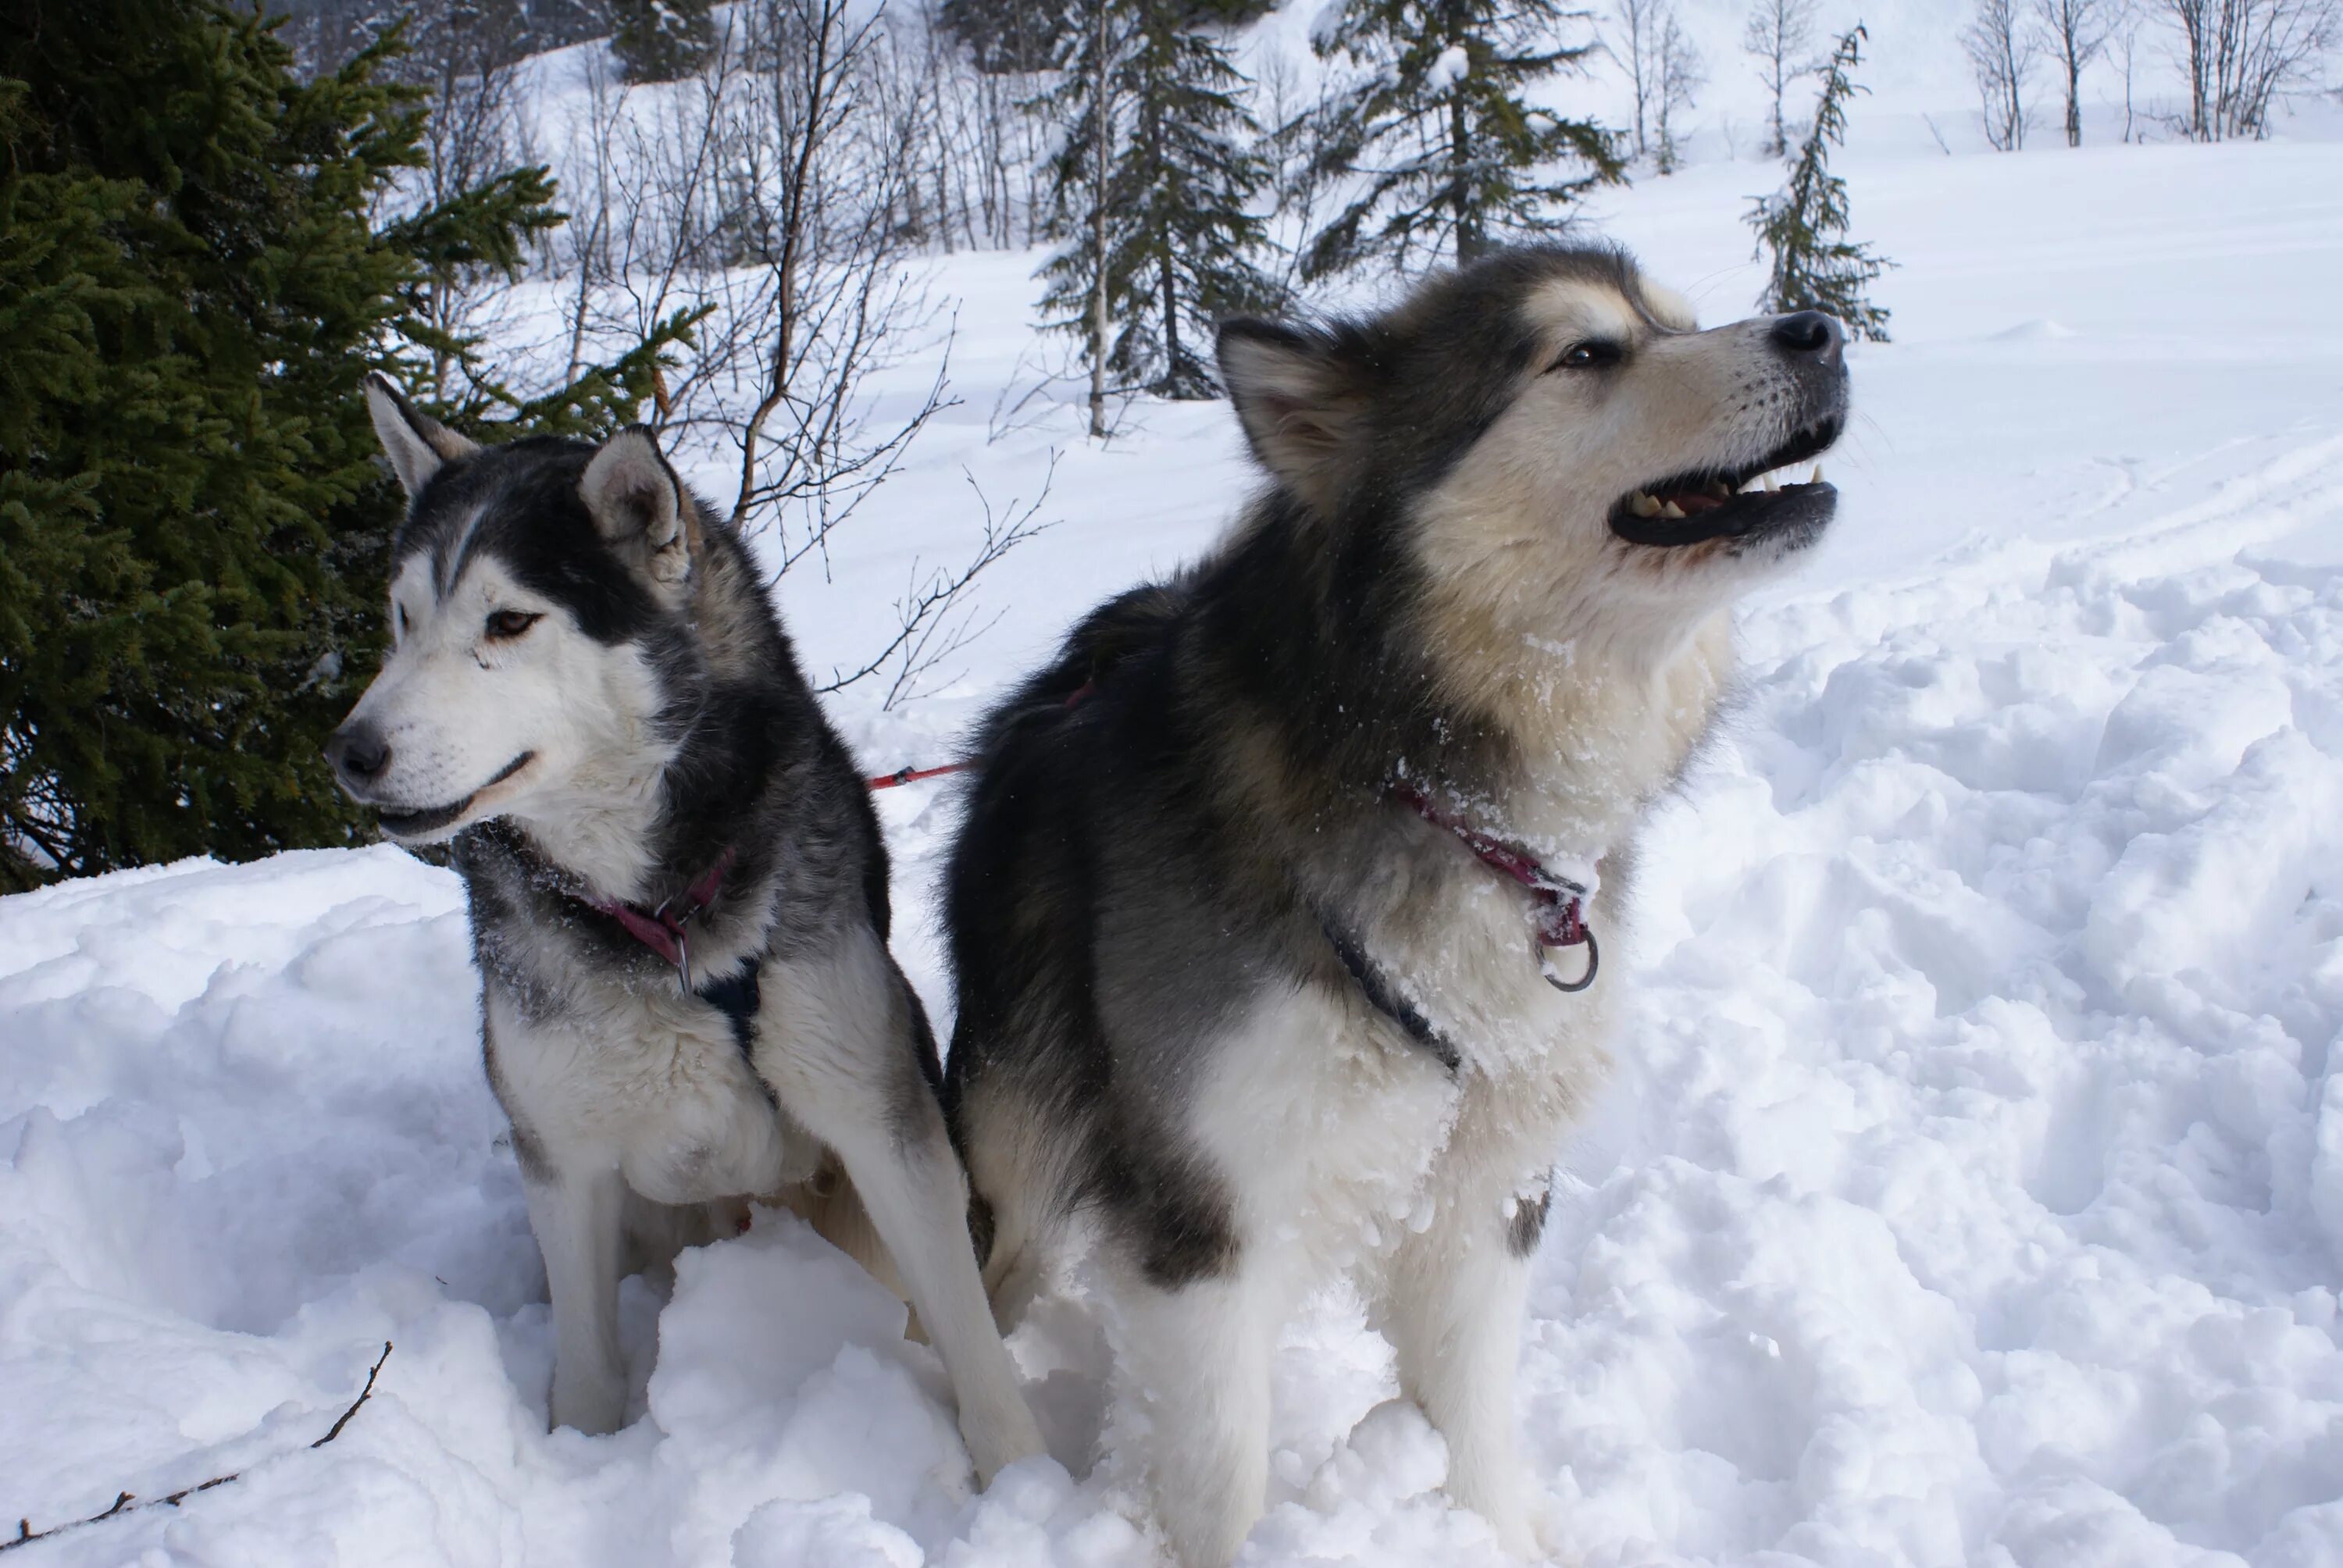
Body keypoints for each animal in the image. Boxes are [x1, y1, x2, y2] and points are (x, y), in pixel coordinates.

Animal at [326, 382, 1040, 1481]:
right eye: (403, 618)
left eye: (509, 620)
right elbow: (584, 1361)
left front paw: (1021, 1477)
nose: (351, 753)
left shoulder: (876, 1117)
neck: (658, 918)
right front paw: (578, 1460)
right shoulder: (565, 1158)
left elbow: (969, 1337)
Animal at [937, 244, 1846, 1556]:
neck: (1432, 776)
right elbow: (1222, 1475)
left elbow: (1470, 1416)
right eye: (1587, 353)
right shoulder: (1208, 1214)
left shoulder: (1487, 1185)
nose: (1821, 329)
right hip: (1015, 1145)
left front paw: (1494, 1532)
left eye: (1679, 320)